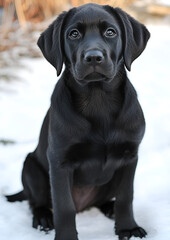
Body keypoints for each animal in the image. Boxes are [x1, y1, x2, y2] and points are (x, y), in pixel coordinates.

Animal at [6, 3, 150, 240]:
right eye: (73, 34)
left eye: (110, 32)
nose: (93, 57)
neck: (97, 99)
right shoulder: (59, 161)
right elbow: (64, 206)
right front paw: (66, 236)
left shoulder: (130, 156)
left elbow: (126, 196)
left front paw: (128, 228)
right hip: (31, 167)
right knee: (36, 202)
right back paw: (43, 218)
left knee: (105, 200)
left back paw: (109, 208)